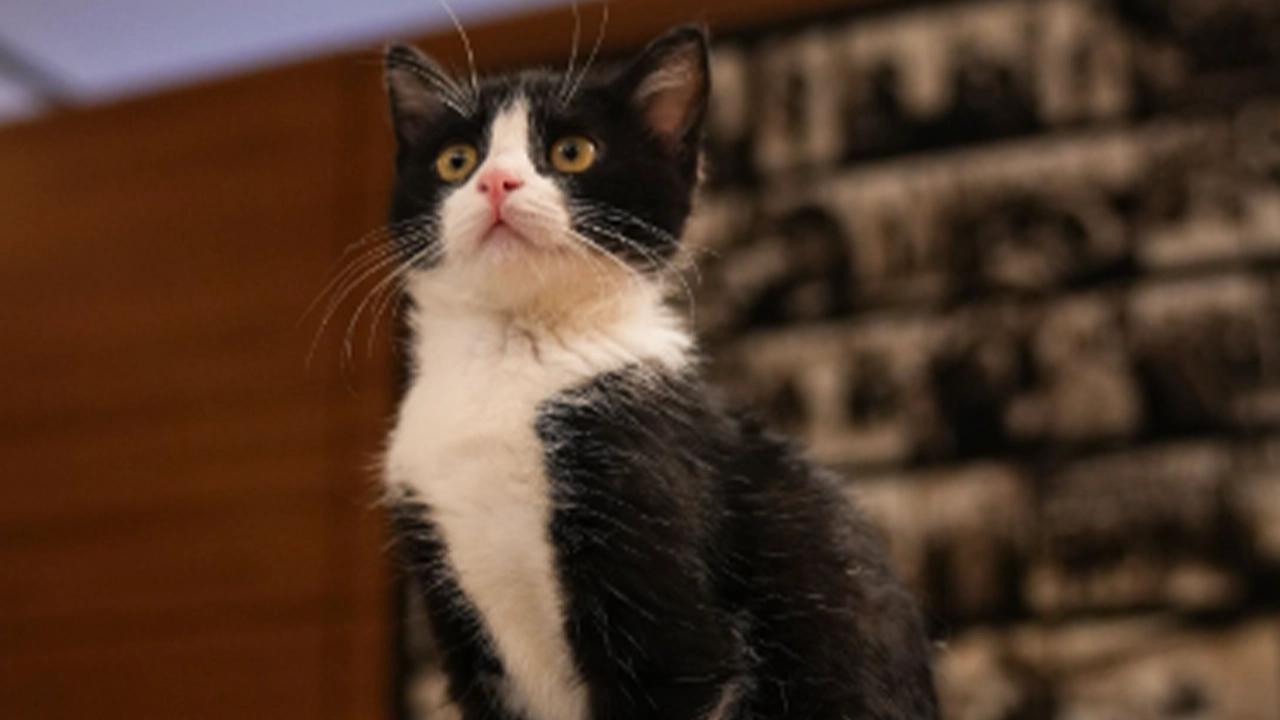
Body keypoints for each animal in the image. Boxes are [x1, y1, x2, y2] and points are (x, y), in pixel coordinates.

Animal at [380, 25, 938, 720]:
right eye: (457, 161)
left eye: (572, 152)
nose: (498, 182)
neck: (509, 366)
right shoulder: (451, 597)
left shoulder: (666, 601)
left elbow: (674, 662)